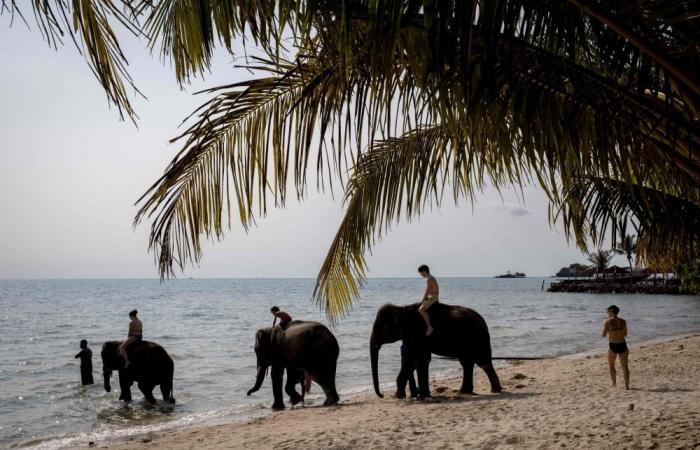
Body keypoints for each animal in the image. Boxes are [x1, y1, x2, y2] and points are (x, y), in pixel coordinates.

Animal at [370, 302, 500, 398]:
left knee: (483, 362)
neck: (402, 308)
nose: (382, 394)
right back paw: (464, 392)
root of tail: (483, 321)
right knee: (467, 363)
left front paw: (397, 396)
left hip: (478, 340)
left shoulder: (417, 334)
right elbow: (421, 359)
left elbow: (410, 360)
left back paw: (495, 390)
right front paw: (424, 396)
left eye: (384, 329)